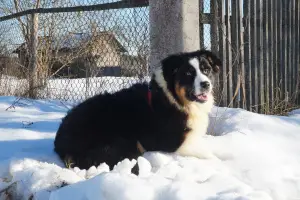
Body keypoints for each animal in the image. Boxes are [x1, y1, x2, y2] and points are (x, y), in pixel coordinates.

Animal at [54, 48, 221, 172]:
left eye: (206, 70)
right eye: (188, 74)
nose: (206, 84)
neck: (174, 100)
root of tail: (60, 140)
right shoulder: (173, 143)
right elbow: (210, 156)